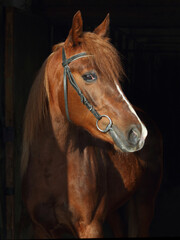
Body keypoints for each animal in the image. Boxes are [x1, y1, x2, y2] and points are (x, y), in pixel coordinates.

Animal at [21, 10, 163, 237]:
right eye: (89, 76)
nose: (138, 133)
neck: (51, 171)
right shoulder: (41, 228)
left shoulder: (91, 227)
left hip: (145, 201)